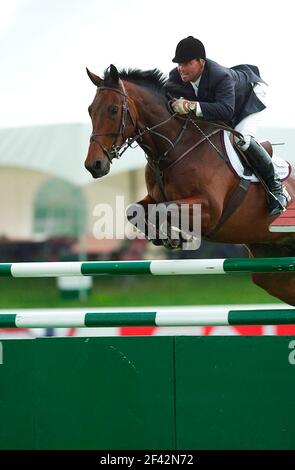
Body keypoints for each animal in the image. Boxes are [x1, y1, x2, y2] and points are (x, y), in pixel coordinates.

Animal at [84, 63, 295, 304]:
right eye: (90, 110)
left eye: (113, 109)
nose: (94, 165)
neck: (173, 147)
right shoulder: (154, 197)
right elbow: (134, 209)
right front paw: (164, 237)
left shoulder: (210, 209)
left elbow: (164, 208)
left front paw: (173, 236)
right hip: (271, 268)